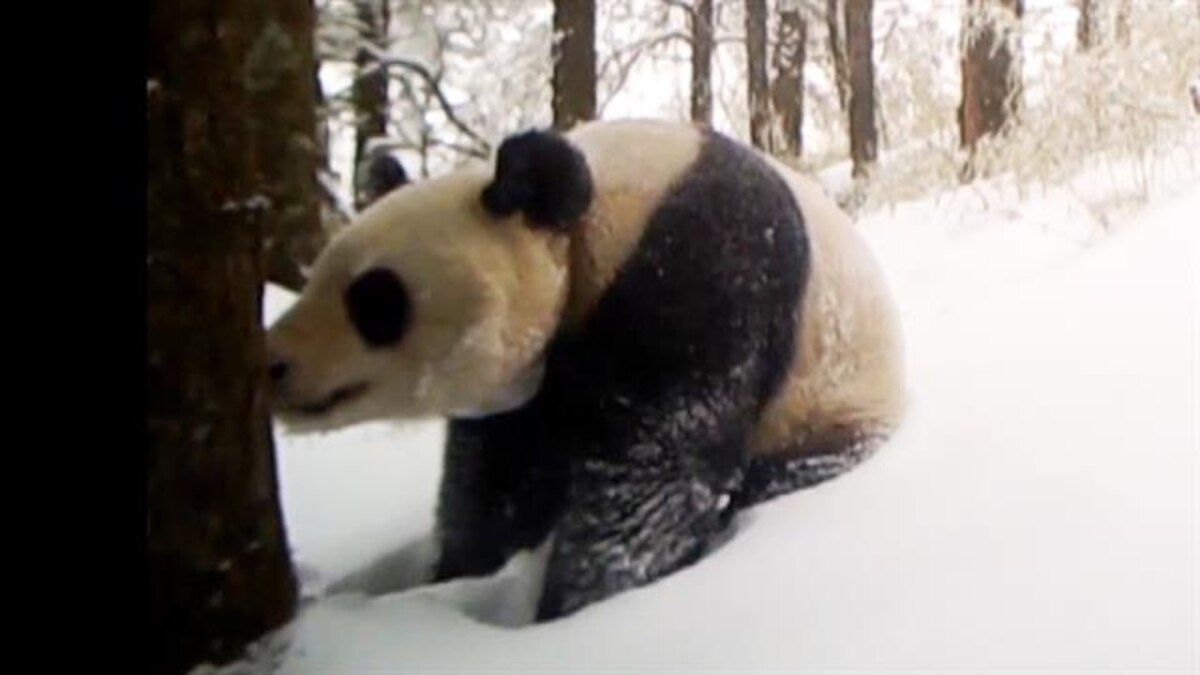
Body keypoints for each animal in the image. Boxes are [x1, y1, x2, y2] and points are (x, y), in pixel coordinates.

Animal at [266, 118, 907, 622]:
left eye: (376, 300)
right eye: (316, 275)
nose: (274, 363)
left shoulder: (702, 265)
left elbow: (656, 469)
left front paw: (575, 605)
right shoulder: (534, 383)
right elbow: (499, 473)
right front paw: (459, 574)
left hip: (827, 409)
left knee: (780, 473)